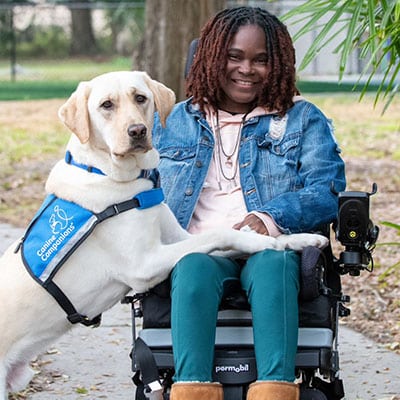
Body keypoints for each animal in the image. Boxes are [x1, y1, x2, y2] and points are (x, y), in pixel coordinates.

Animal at [0, 70, 328, 398]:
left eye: (140, 98)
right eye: (106, 105)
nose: (137, 131)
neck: (114, 175)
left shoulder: (179, 240)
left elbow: (224, 238)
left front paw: (299, 239)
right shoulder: (145, 263)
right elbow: (219, 234)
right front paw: (257, 238)